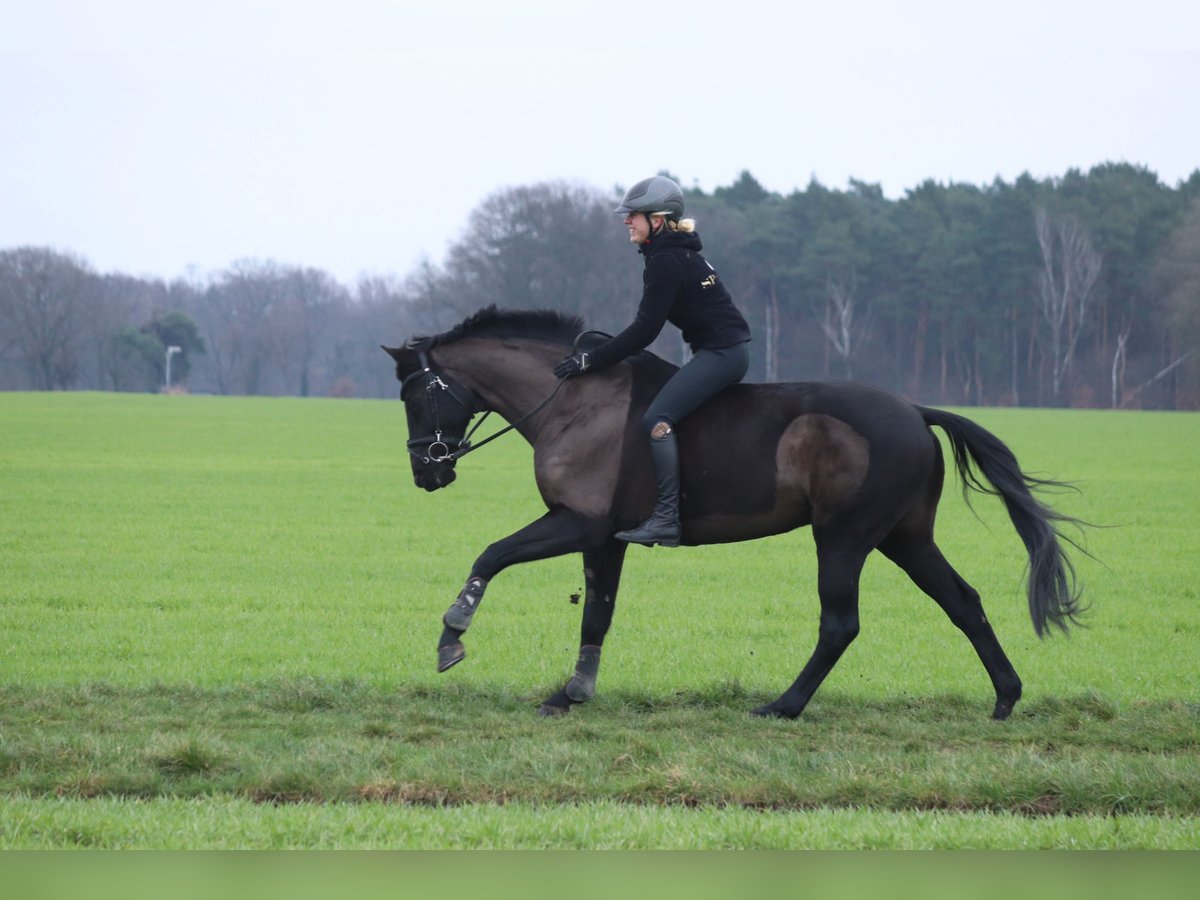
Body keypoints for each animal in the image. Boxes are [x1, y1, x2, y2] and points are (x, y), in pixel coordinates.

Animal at [386, 307, 1089, 724]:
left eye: (416, 395)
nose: (426, 471)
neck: (571, 401)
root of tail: (915, 411)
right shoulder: (604, 539)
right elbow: (597, 612)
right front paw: (573, 692)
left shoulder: (577, 523)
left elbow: (492, 554)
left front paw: (452, 636)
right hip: (905, 536)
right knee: (962, 601)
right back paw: (1005, 697)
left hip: (844, 536)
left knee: (841, 622)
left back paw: (784, 705)